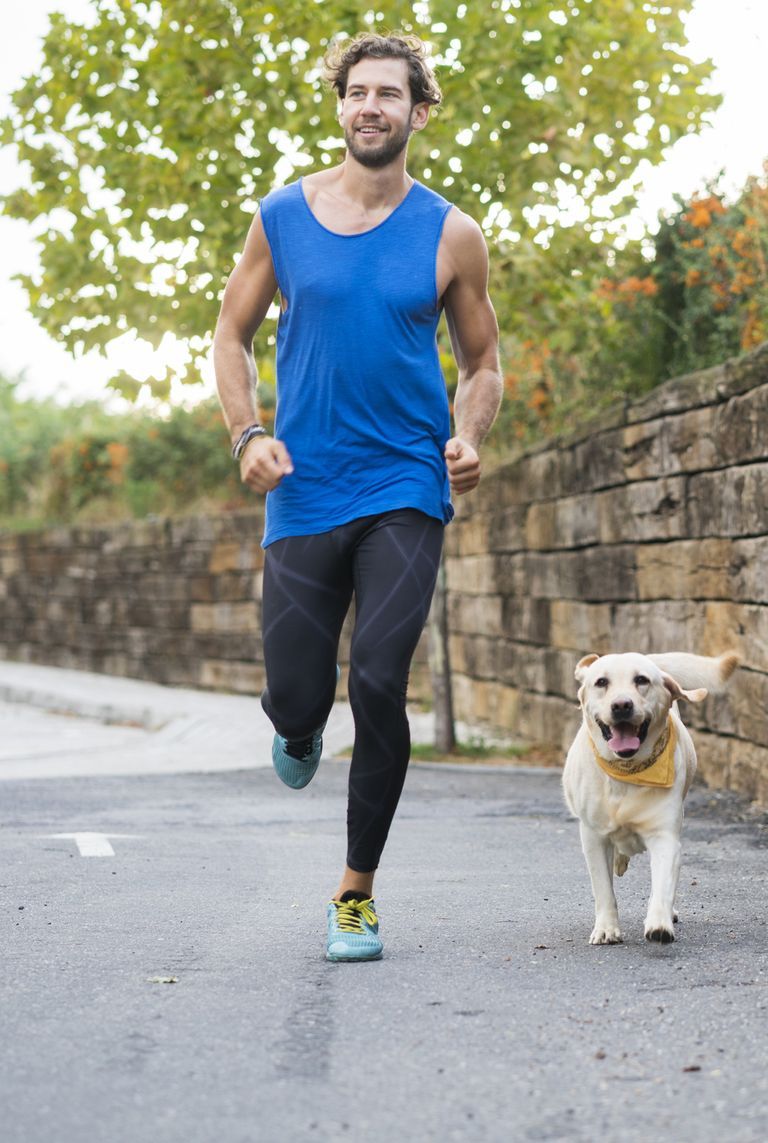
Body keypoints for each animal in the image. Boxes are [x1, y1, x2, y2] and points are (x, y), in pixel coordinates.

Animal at [564, 649, 736, 950]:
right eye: (601, 682)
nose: (622, 705)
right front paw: (607, 929)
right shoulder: (594, 837)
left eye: (641, 680)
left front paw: (659, 924)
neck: (626, 772)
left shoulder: (664, 837)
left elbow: (663, 885)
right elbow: (603, 888)